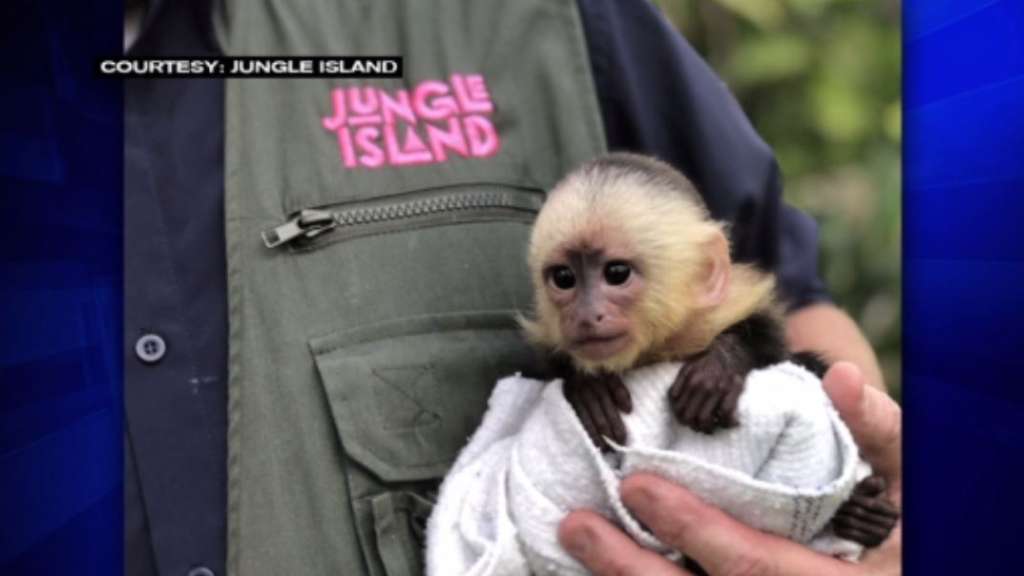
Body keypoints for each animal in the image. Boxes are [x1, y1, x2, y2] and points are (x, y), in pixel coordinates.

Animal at [520, 153, 898, 550]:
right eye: (564, 278)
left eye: (617, 273)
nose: (586, 315)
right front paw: (588, 388)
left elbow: (778, 347)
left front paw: (717, 368)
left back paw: (864, 515)